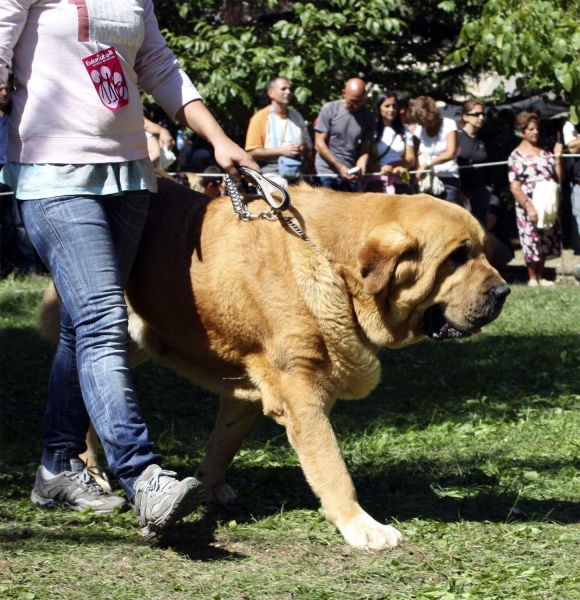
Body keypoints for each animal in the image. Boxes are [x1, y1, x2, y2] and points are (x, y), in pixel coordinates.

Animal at [39, 178, 508, 548]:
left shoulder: (248, 390)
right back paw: (87, 472)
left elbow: (223, 443)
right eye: (457, 256)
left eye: (481, 251)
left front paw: (208, 487)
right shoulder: (301, 396)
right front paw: (362, 527)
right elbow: (332, 467)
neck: (335, 265)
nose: (503, 291)